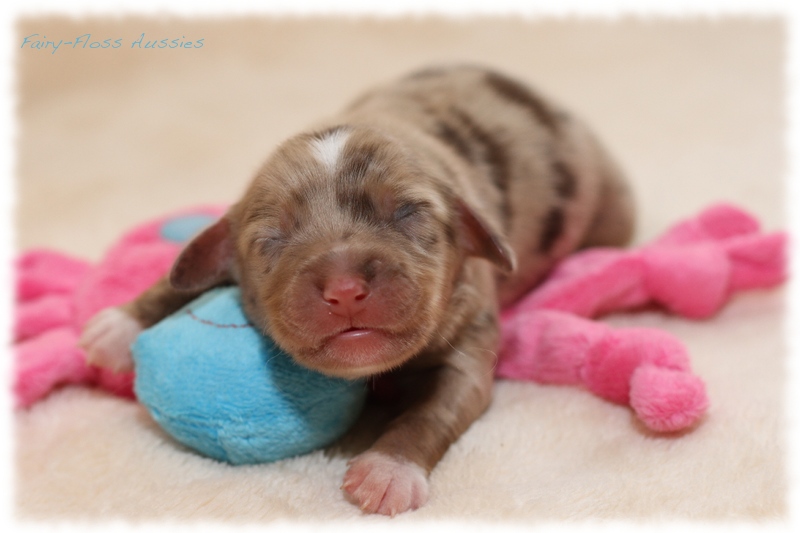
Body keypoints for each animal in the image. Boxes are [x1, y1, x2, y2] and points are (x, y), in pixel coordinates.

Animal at [79, 65, 632, 516]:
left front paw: (388, 471)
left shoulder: (469, 349)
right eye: (270, 239)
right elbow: (183, 272)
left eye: (407, 213)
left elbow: (431, 411)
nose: (344, 289)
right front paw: (119, 325)